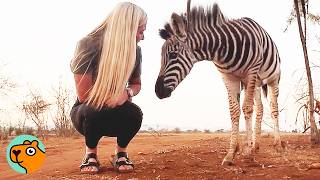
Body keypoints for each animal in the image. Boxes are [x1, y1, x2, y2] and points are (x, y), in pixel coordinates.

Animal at [155, 3, 282, 166]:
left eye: (173, 55)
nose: (158, 91)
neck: (225, 48)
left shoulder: (251, 73)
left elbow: (247, 109)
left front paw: (246, 152)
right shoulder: (228, 77)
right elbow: (234, 111)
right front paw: (232, 153)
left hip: (272, 79)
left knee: (273, 108)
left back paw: (277, 145)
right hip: (256, 84)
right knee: (259, 109)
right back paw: (255, 145)